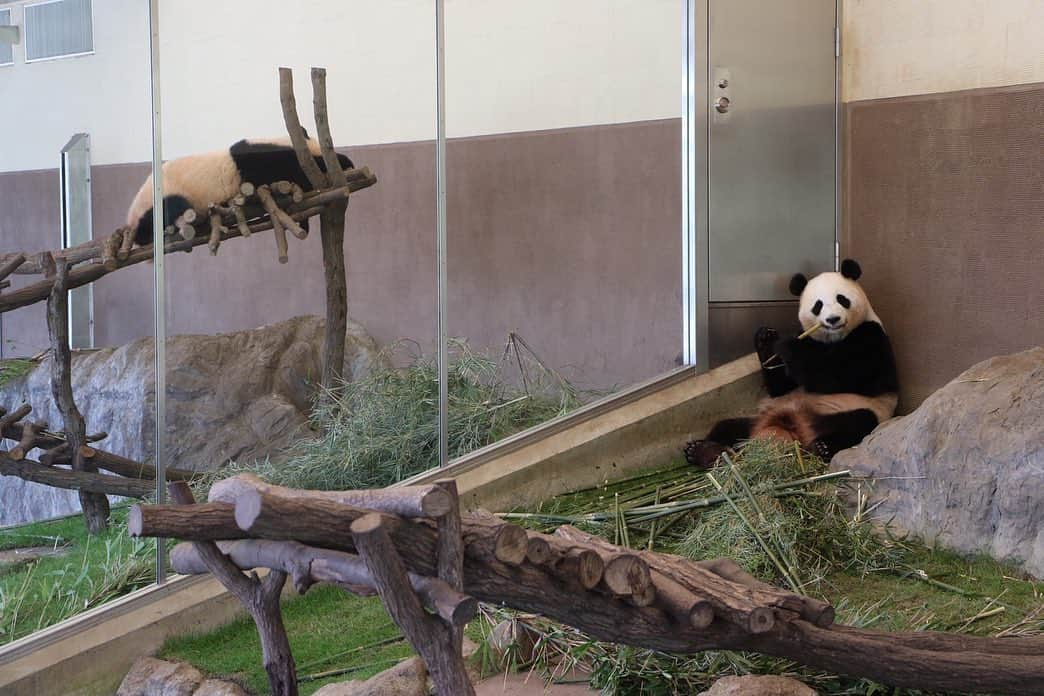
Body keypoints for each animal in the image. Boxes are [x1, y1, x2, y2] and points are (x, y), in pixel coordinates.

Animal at [125, 132, 354, 249]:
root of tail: (132, 219)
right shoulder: (262, 162)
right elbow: (295, 173)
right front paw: (342, 161)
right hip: (165, 196)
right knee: (174, 208)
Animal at [684, 259, 897, 467]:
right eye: (818, 305)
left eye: (842, 299)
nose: (833, 319)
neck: (832, 339)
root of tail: (796, 429)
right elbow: (781, 386)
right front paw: (766, 339)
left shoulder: (870, 336)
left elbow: (840, 376)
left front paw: (789, 346)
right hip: (758, 418)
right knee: (728, 428)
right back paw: (704, 451)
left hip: (850, 411)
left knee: (860, 422)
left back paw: (822, 447)